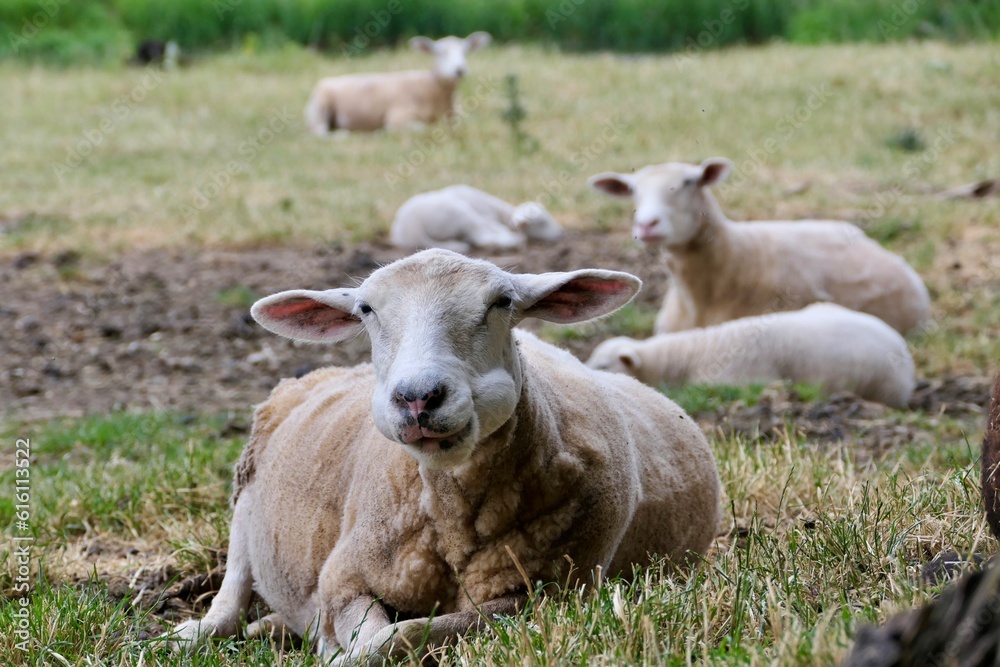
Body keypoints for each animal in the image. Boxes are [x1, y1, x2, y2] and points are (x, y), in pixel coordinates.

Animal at [164, 249, 720, 664]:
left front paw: (337, 650)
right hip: (246, 498)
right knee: (229, 599)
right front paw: (330, 644)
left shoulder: (538, 598)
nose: (418, 397)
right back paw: (188, 635)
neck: (453, 518)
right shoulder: (346, 577)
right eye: (366, 310)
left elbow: (396, 637)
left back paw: (273, 626)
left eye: (502, 301)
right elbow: (364, 630)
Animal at [388, 184, 564, 252]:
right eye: (542, 223)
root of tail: (409, 230)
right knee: (480, 236)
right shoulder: (486, 218)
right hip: (456, 213)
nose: (560, 233)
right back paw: (512, 241)